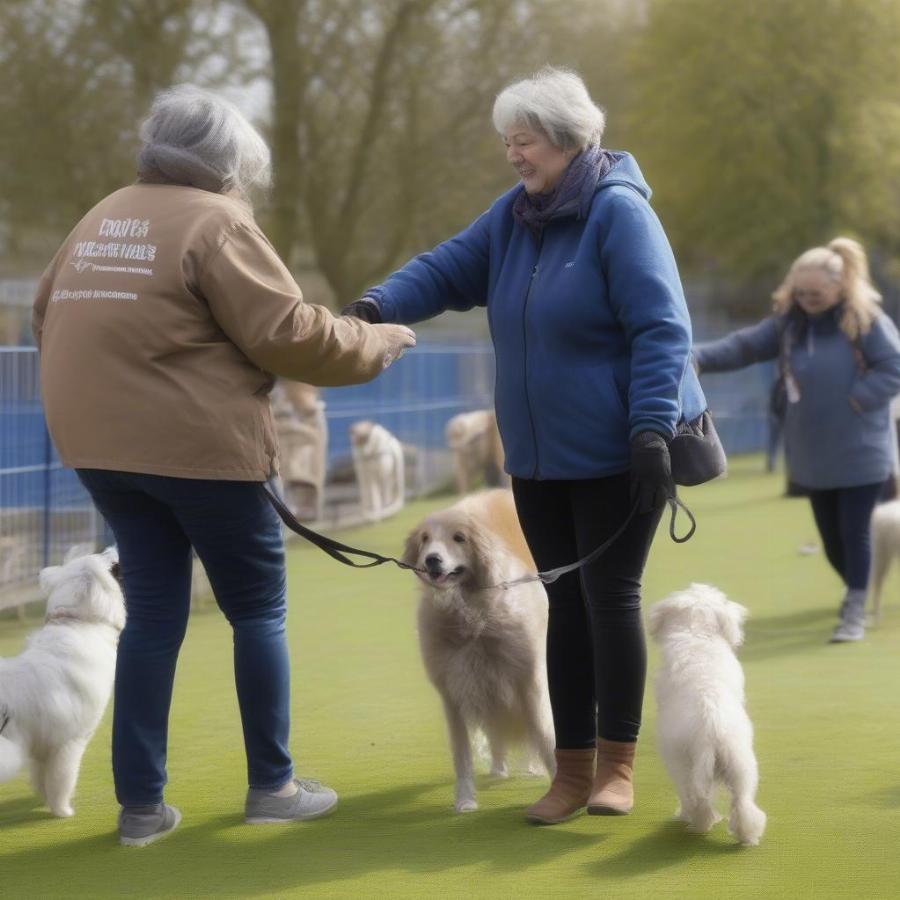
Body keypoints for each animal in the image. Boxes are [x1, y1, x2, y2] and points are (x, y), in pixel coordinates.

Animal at [0, 544, 126, 820]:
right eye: (109, 562)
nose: (114, 545)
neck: (77, 622)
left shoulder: (42, 746)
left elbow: (41, 777)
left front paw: (44, 799)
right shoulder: (69, 743)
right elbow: (62, 780)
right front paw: (62, 811)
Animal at [402, 488, 556, 812]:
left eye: (459, 538)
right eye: (424, 538)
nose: (432, 560)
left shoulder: (527, 680)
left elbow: (543, 734)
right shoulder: (454, 688)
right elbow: (462, 754)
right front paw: (465, 800)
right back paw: (498, 768)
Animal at [648, 584, 768, 844]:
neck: (698, 633)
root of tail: (711, 730)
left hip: (683, 767)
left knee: (694, 801)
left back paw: (693, 822)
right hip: (741, 767)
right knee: (742, 804)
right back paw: (747, 837)